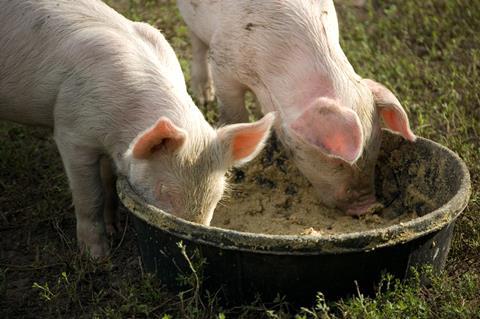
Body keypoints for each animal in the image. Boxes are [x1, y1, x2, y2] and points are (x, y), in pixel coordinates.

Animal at [0, 0, 274, 258]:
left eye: (217, 195)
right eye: (163, 190)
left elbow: (109, 183)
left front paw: (114, 229)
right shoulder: (71, 133)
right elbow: (90, 194)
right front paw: (98, 256)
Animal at [178, 0, 414, 216]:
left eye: (375, 150)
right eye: (337, 162)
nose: (367, 207)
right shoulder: (224, 63)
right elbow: (233, 112)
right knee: (197, 42)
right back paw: (204, 97)